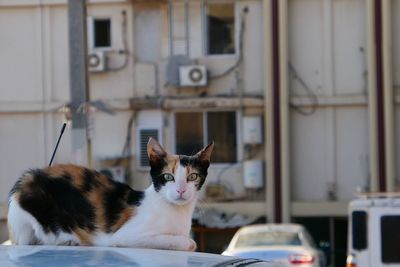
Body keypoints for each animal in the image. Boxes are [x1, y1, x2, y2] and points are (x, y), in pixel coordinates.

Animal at [7, 138, 214, 251]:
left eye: (193, 176)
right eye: (168, 177)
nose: (181, 190)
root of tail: (26, 179)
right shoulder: (124, 237)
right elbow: (189, 243)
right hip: (30, 211)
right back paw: (68, 240)